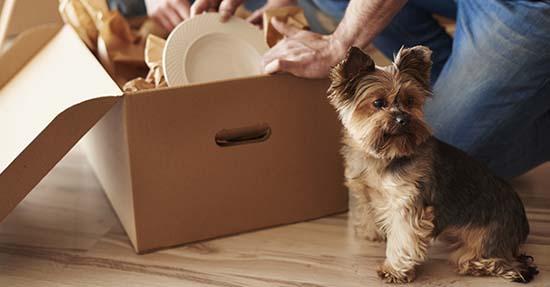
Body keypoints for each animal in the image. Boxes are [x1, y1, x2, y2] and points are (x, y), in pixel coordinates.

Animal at [328, 46, 540, 284]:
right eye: (378, 103)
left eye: (410, 101)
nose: (403, 119)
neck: (386, 155)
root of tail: (522, 222)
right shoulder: (369, 191)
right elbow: (369, 209)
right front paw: (372, 232)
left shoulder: (408, 203)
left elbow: (403, 238)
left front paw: (394, 270)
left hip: (487, 238)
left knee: (491, 261)